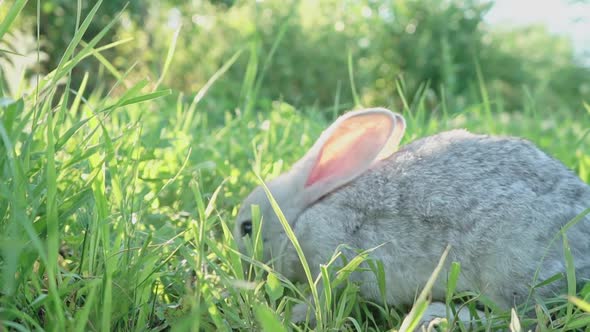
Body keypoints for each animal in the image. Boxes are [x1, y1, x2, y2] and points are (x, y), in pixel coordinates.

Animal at [232, 107, 590, 328]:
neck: (300, 217)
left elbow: (320, 297)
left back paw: (434, 315)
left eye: (246, 227)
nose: (244, 267)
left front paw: (289, 315)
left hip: (508, 269)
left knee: (519, 318)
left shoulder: (331, 257)